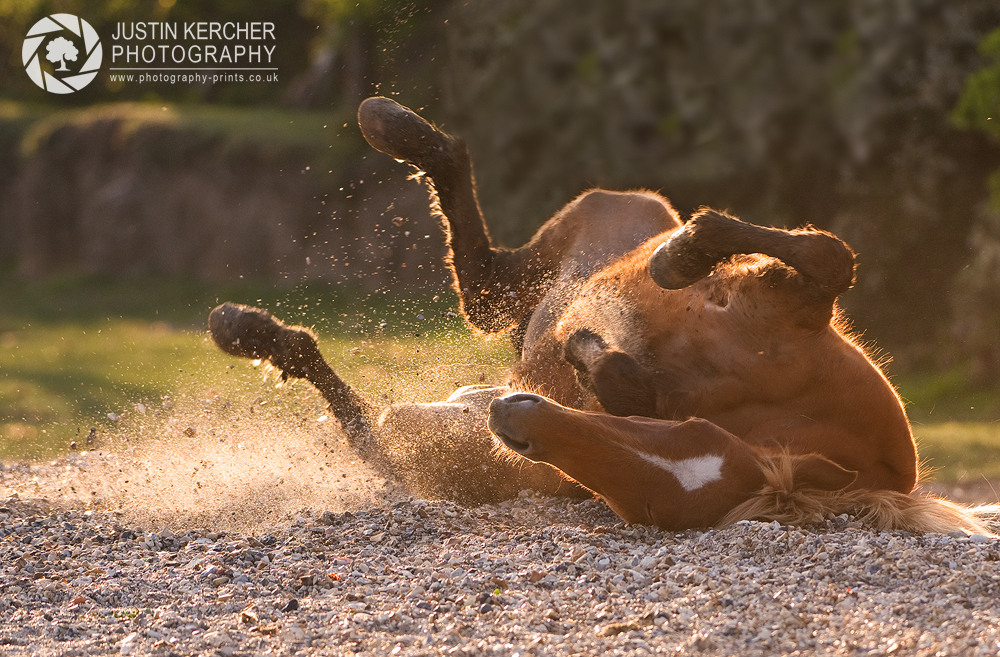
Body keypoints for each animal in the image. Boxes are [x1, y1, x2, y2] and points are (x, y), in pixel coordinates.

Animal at [209, 98, 992, 540]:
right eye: (690, 432)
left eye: (642, 502)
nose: (512, 420)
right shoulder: (792, 304)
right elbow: (830, 256)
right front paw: (682, 256)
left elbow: (619, 376)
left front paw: (599, 357)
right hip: (606, 216)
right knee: (484, 277)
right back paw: (393, 126)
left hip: (436, 424)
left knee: (458, 318)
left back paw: (249, 329)